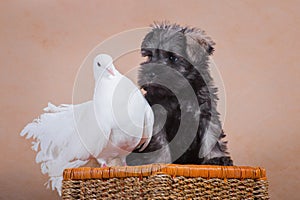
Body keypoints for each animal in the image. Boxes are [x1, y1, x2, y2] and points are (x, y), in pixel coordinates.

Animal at [125, 22, 233, 166]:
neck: (180, 92)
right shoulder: (158, 118)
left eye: (172, 57)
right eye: (150, 56)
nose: (150, 74)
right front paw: (161, 162)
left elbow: (211, 139)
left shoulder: (207, 115)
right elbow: (160, 144)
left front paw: (216, 158)